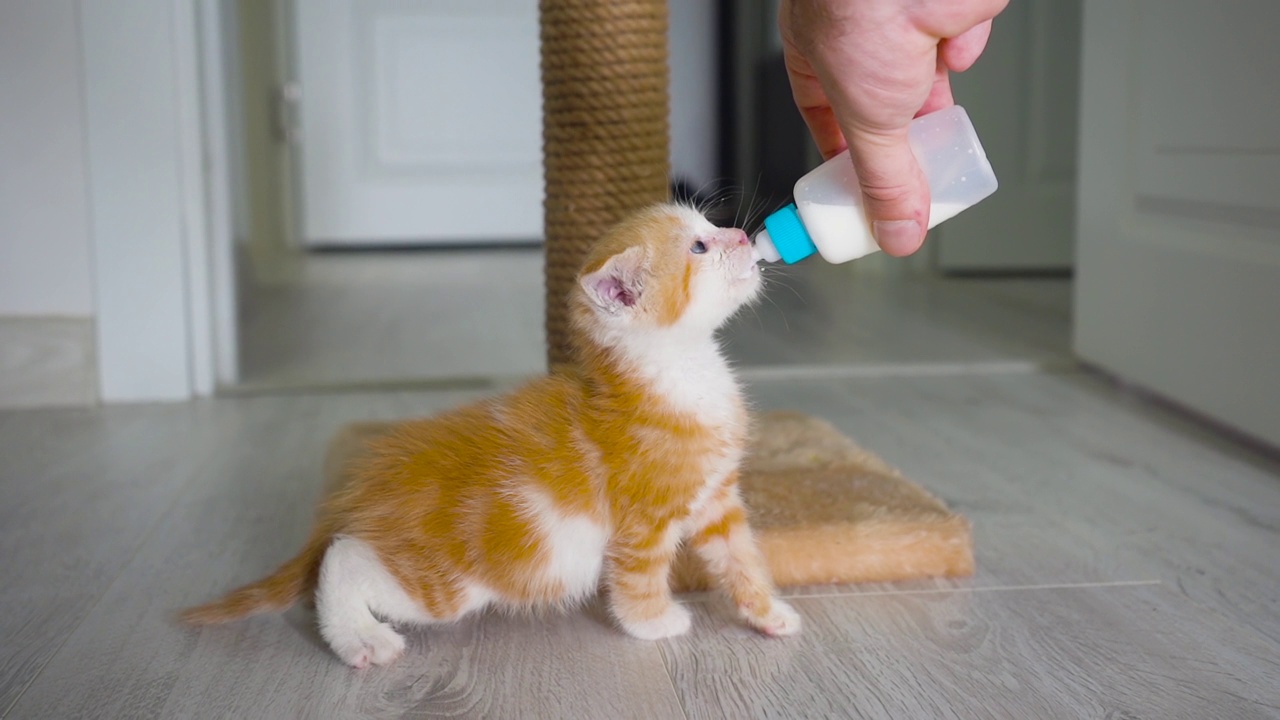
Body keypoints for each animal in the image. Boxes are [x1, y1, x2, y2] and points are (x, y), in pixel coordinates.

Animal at [180, 202, 798, 666]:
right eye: (699, 247)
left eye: (713, 225)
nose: (741, 234)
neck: (682, 372)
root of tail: (361, 489)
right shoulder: (644, 521)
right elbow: (638, 578)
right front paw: (654, 622)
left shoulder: (716, 498)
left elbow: (741, 556)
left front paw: (768, 612)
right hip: (441, 585)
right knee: (343, 559)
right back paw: (360, 637)